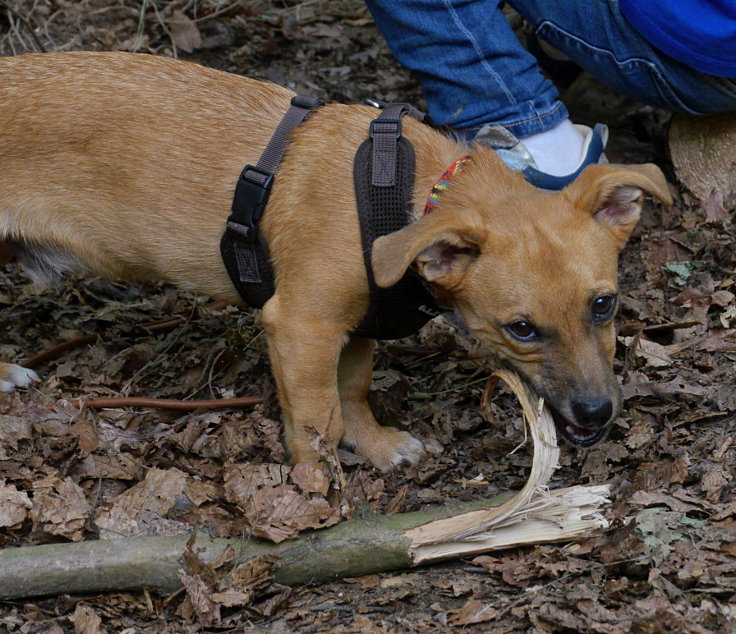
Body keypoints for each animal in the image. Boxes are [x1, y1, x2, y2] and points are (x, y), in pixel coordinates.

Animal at [0, 53, 672, 470]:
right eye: (522, 329)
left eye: (605, 304)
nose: (598, 413)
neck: (410, 194)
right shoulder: (301, 327)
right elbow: (316, 421)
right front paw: (317, 492)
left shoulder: (351, 329)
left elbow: (352, 393)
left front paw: (374, 448)